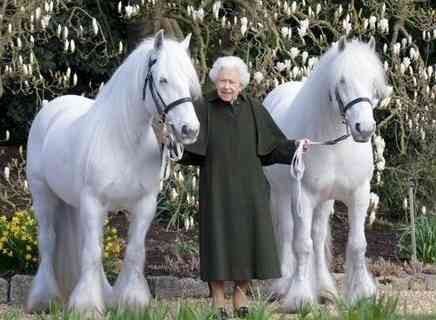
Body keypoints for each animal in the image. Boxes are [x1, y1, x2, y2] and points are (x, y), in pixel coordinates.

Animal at [24, 30, 200, 316]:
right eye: (162, 79)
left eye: (188, 81)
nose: (190, 130)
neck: (124, 140)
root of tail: (53, 107)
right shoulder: (94, 202)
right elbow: (93, 253)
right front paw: (86, 306)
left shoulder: (144, 204)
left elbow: (134, 252)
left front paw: (132, 302)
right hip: (43, 195)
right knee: (48, 242)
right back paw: (44, 299)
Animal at [264, 38, 390, 312]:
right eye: (342, 80)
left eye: (372, 81)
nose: (364, 128)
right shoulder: (303, 196)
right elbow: (302, 246)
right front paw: (299, 298)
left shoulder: (359, 194)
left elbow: (357, 244)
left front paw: (362, 294)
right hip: (281, 194)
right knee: (288, 234)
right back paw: (283, 285)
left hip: (325, 200)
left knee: (318, 234)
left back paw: (324, 289)